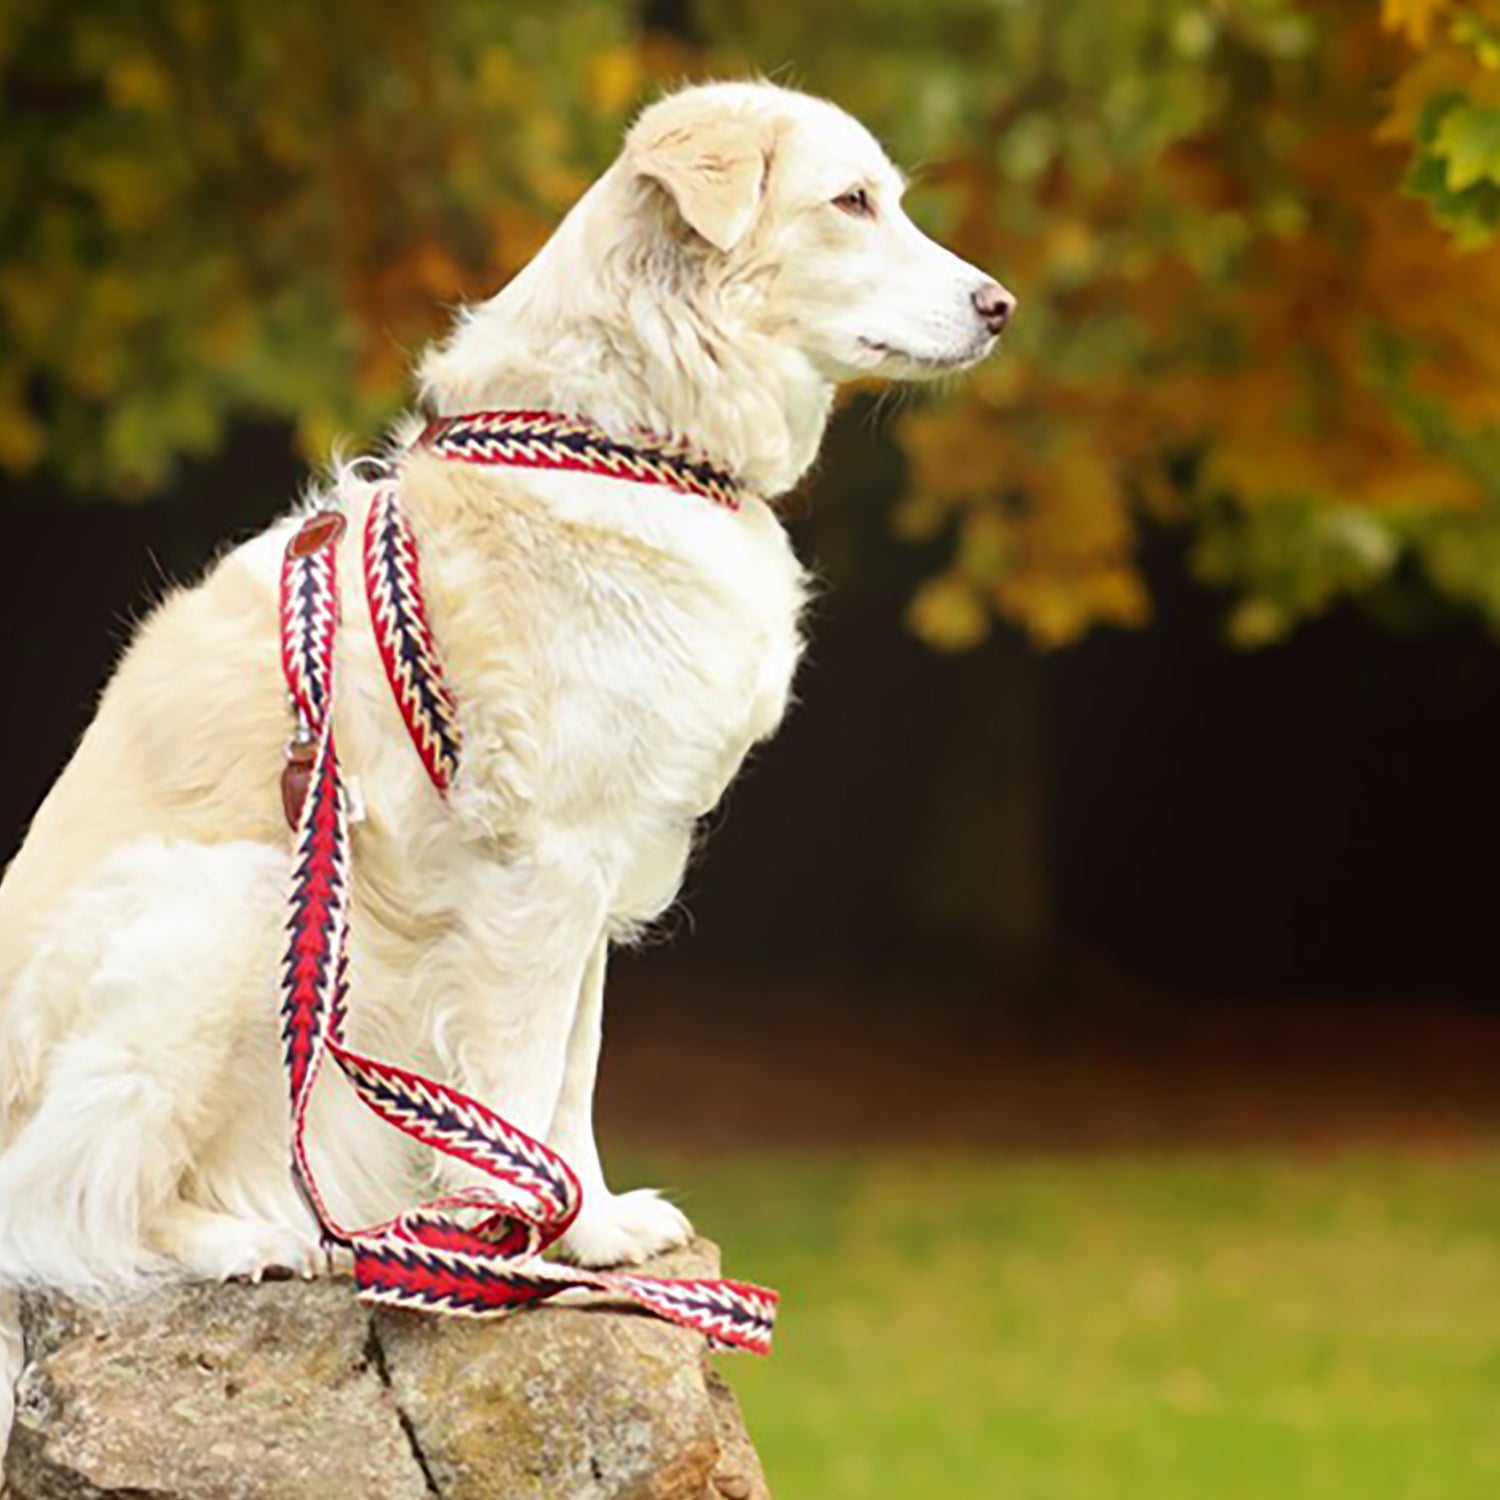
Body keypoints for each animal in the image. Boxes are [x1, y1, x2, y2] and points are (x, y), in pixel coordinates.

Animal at [0, 79, 1014, 1428]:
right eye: (851, 203)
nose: (1002, 305)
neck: (630, 433)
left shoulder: (595, 874)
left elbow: (571, 1074)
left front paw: (593, 1230)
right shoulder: (542, 868)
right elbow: (524, 1077)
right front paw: (533, 1253)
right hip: (233, 902)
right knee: (63, 1197)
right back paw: (245, 1239)